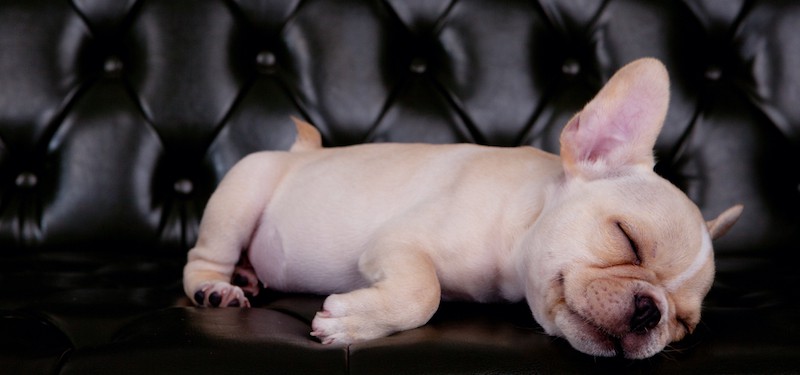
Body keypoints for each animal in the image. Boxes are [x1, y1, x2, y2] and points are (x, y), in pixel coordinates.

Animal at [183, 59, 744, 362]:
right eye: (626, 238)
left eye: (684, 325)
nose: (652, 310)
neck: (519, 225)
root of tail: (299, 153)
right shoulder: (397, 244)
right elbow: (424, 293)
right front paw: (350, 322)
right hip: (242, 192)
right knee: (201, 258)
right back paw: (219, 287)